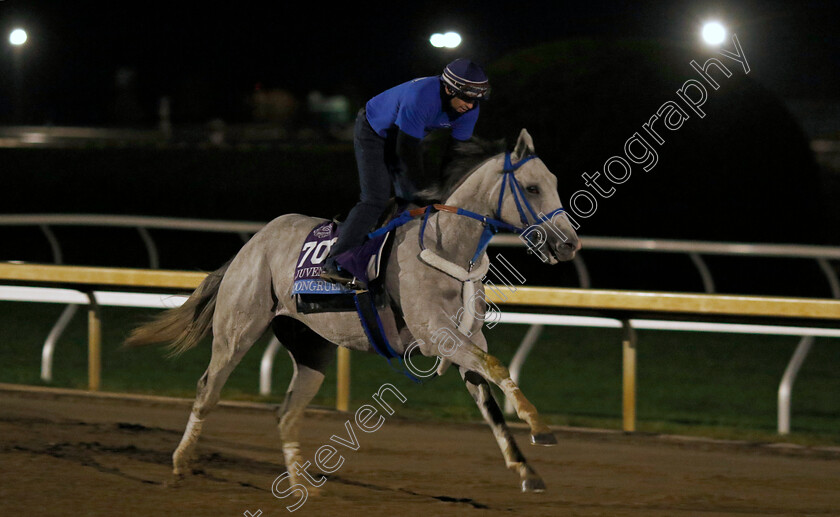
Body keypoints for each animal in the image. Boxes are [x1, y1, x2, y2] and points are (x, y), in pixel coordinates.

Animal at [124, 128, 580, 492]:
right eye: (533, 188)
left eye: (555, 183)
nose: (570, 243)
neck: (447, 246)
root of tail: (252, 243)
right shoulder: (436, 336)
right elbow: (499, 367)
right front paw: (540, 427)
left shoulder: (465, 339)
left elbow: (490, 397)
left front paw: (526, 469)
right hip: (237, 330)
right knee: (207, 391)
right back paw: (181, 463)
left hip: (312, 348)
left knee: (287, 413)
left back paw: (300, 486)